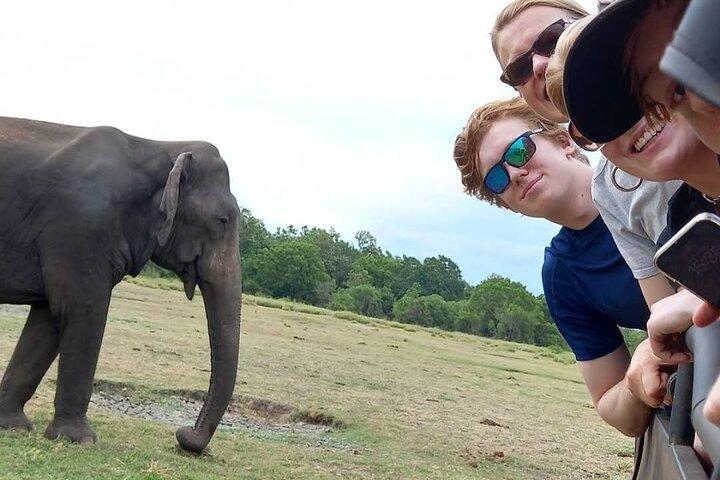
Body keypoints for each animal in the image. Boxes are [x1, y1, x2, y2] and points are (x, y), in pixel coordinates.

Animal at [0, 117, 242, 453]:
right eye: (222, 221)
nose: (184, 435)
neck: (158, 146)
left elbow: (47, 319)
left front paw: (13, 427)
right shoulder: (81, 228)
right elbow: (83, 310)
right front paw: (81, 440)